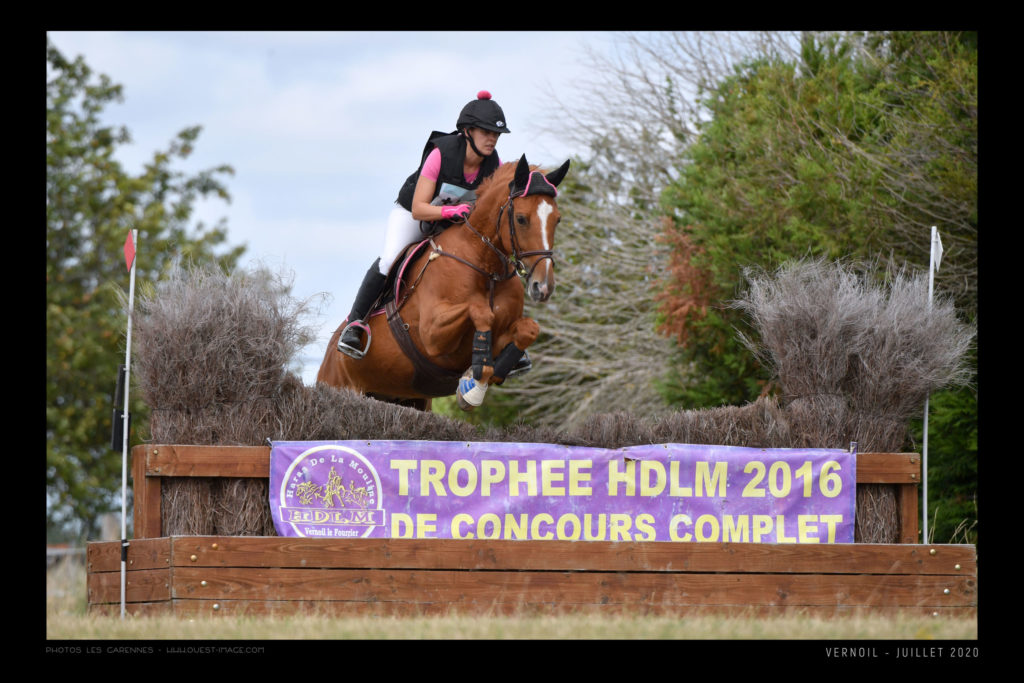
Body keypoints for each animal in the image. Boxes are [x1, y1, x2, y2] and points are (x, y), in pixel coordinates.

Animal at [315, 154, 573, 411]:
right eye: (521, 219)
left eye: (557, 220)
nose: (543, 287)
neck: (485, 267)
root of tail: (329, 354)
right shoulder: (432, 334)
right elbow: (481, 311)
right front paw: (473, 385)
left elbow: (529, 329)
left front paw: (476, 383)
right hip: (342, 385)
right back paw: (351, 336)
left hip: (412, 400)